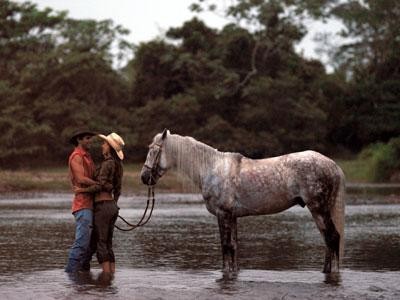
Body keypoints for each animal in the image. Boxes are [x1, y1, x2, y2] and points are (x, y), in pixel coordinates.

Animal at [140, 130, 344, 274]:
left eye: (153, 151)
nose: (144, 177)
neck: (211, 168)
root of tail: (333, 166)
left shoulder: (223, 215)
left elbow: (226, 247)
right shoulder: (233, 216)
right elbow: (234, 248)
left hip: (318, 209)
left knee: (332, 238)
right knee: (328, 241)